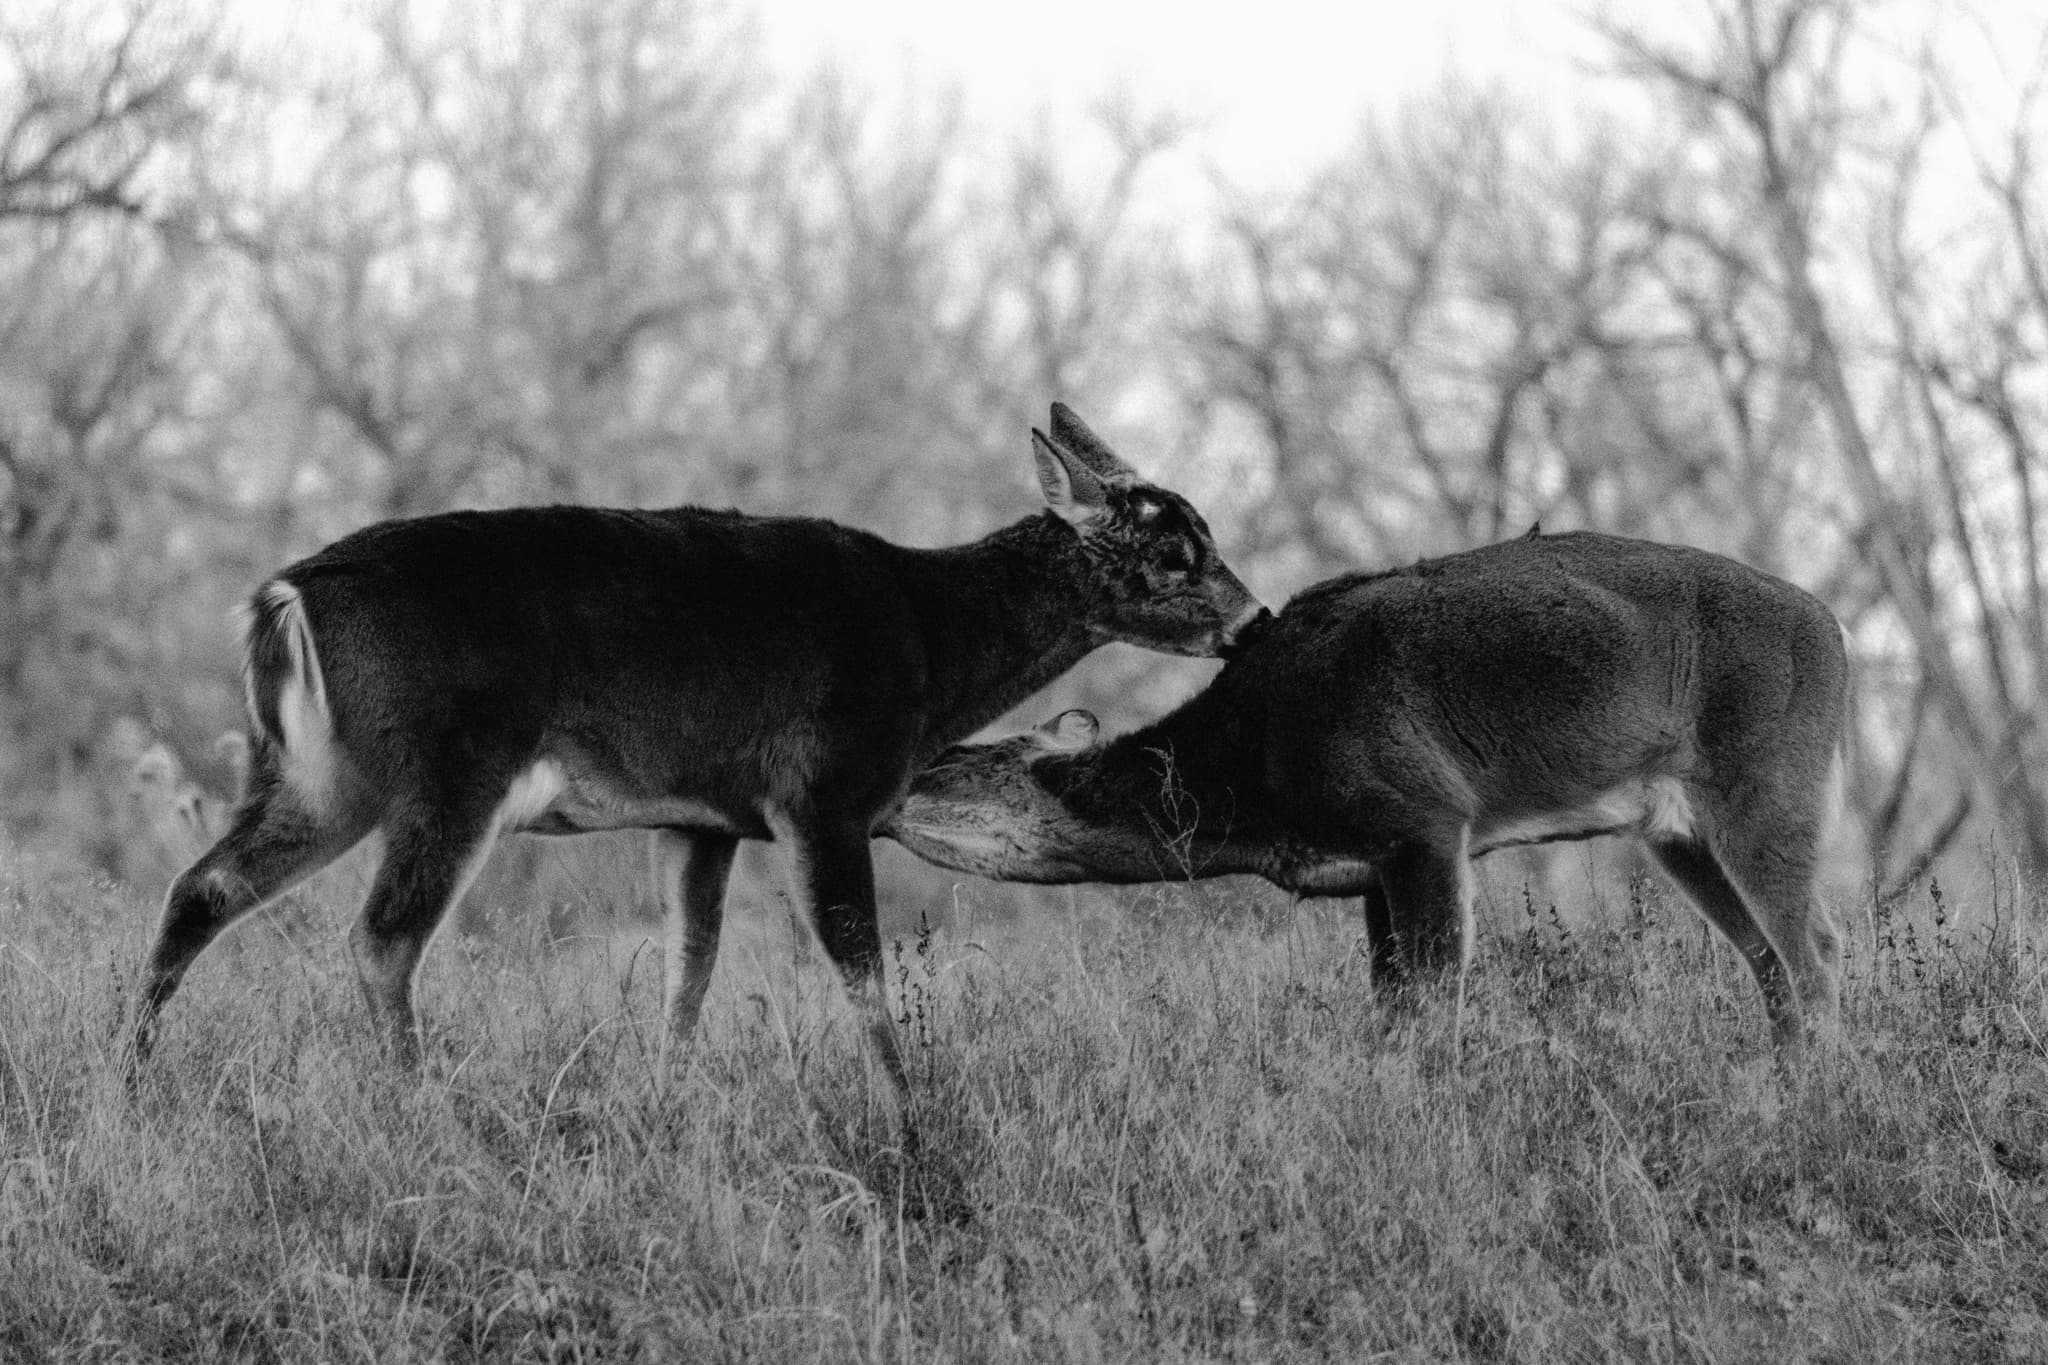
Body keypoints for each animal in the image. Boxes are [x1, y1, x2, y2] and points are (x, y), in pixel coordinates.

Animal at [129, 404, 1269, 1109]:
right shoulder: (824, 790)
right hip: (450, 768)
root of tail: (283, 596)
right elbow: (858, 970)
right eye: (1176, 554)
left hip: (322, 777)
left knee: (204, 886)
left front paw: (663, 1103)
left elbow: (690, 971)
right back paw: (420, 1108)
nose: (1253, 621)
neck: (930, 637)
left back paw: (129, 1074)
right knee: (379, 939)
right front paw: (915, 1116)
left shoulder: (699, 818)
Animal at [884, 529, 1848, 1056]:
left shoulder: (1423, 817)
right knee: (1771, 962)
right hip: (1677, 829)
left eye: (946, 764)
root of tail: (1837, 631)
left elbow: (1432, 1001)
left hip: (1768, 775)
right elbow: (1390, 1008)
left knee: (1813, 953)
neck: (1250, 775)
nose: (881, 803)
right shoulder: (1372, 867)